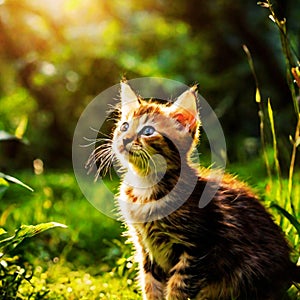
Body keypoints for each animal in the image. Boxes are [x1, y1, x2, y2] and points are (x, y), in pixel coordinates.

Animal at [88, 81, 298, 298]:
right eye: (124, 126)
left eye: (148, 131)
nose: (124, 139)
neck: (146, 187)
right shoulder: (145, 247)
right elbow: (150, 285)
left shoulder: (198, 246)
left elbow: (178, 287)